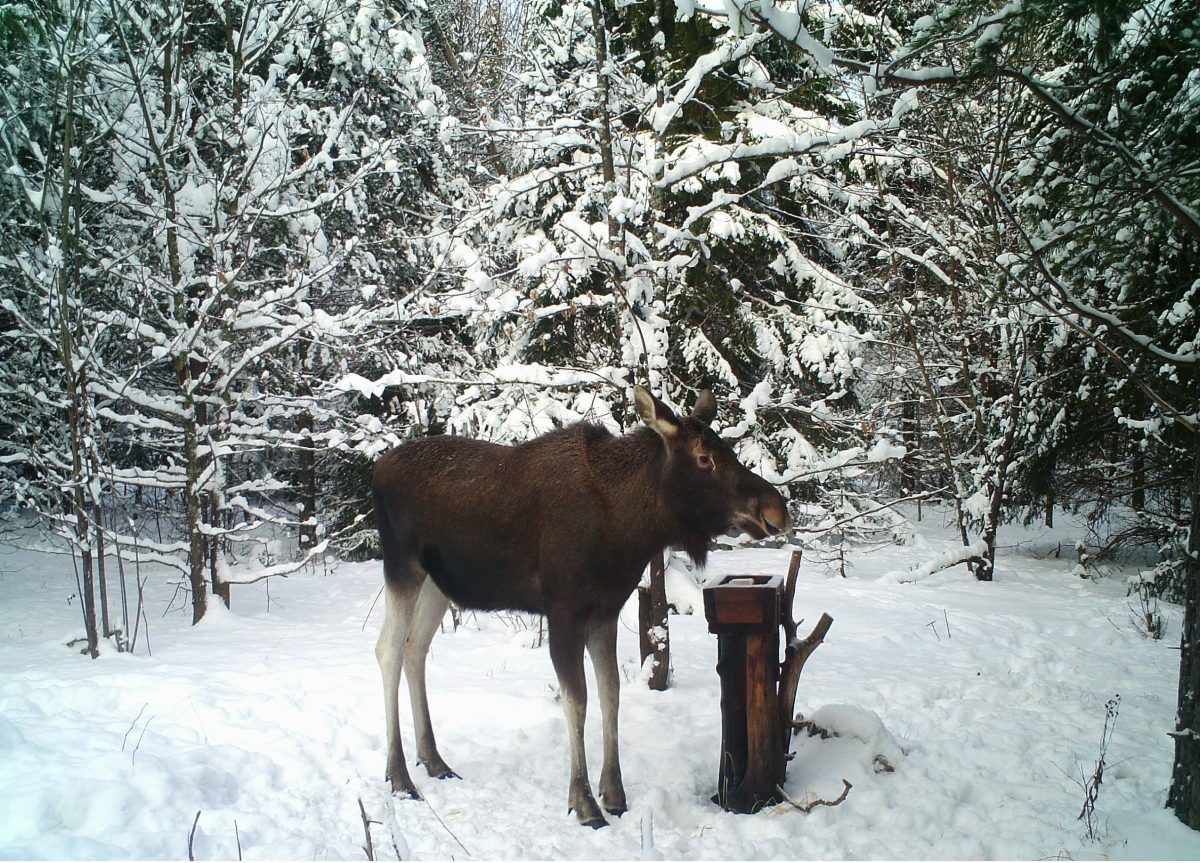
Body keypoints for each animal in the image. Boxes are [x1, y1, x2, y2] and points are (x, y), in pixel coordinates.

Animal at [369, 386, 792, 830]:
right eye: (703, 457)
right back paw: (399, 776)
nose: (775, 508)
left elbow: (611, 692)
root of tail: (377, 470)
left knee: (415, 649)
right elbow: (578, 700)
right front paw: (585, 802)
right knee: (388, 649)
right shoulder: (564, 610)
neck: (627, 527)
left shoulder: (605, 611)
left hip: (437, 583)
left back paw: (433, 760)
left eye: (728, 449)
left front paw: (615, 793)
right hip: (401, 565)